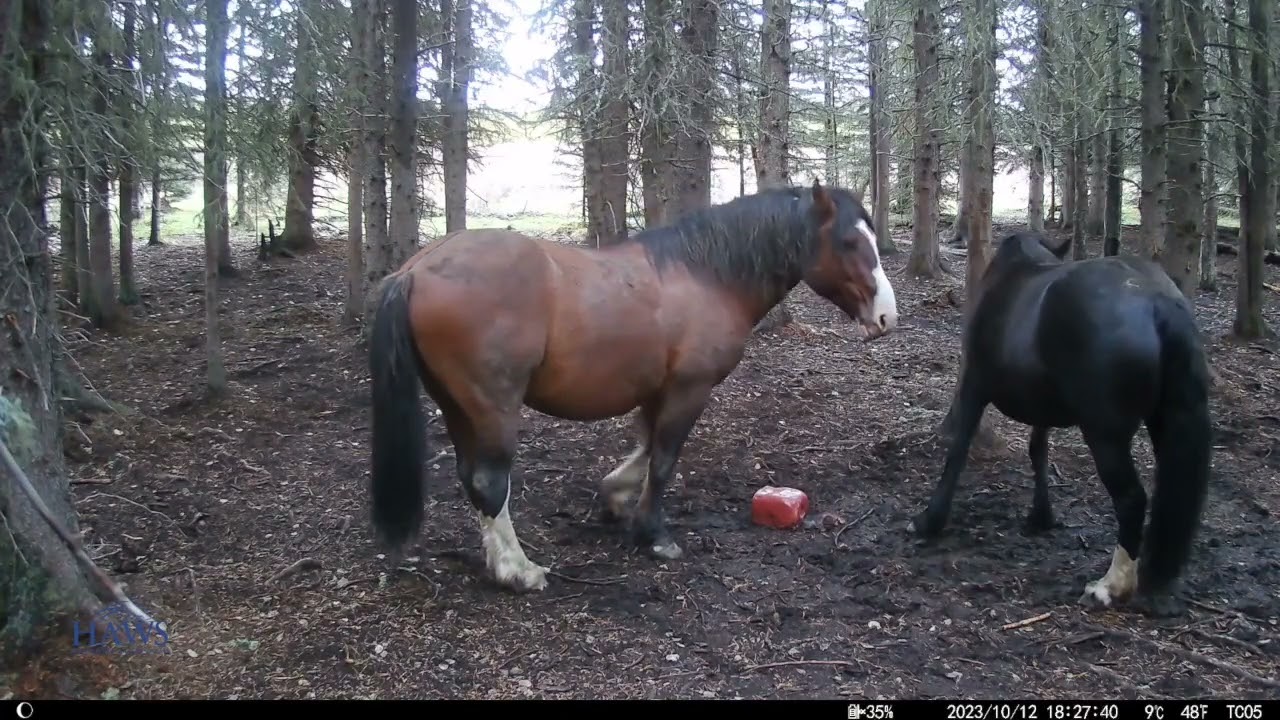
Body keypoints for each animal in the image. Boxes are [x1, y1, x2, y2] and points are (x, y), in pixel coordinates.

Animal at [366, 180, 900, 593]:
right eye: (849, 243)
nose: (885, 318)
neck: (705, 275)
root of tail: (415, 269)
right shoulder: (689, 389)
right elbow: (662, 460)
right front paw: (653, 533)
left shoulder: (657, 389)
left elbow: (643, 448)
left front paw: (617, 499)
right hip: (493, 408)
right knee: (489, 482)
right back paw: (517, 570)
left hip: (458, 407)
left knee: (472, 479)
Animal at [911, 230, 1212, 617]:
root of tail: (1156, 300)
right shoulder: (1042, 407)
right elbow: (1037, 451)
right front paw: (1041, 516)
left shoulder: (974, 387)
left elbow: (959, 448)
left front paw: (931, 520)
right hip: (1165, 423)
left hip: (1105, 436)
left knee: (1132, 499)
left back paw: (1110, 586)